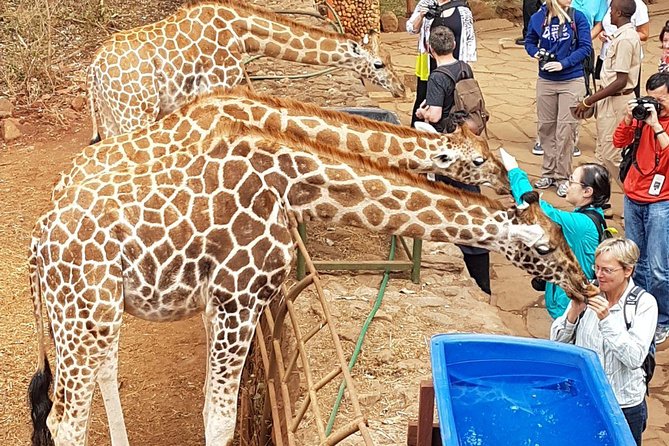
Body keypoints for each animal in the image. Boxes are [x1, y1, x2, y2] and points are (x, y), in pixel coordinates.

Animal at [28, 116, 596, 446]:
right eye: (545, 247)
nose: (586, 286)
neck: (292, 186)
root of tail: (37, 246)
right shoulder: (238, 297)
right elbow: (219, 418)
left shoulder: (222, 302)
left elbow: (217, 407)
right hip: (82, 314)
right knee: (64, 422)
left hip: (94, 314)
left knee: (98, 380)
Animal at [87, 0, 405, 142]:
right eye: (379, 64)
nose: (401, 88)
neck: (241, 33)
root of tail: (93, 67)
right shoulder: (219, 86)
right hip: (135, 111)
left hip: (111, 114)